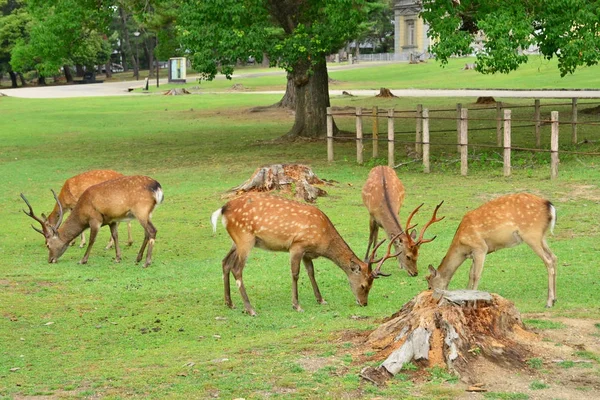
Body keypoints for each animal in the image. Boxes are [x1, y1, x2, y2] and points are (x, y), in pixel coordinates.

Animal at [21, 176, 163, 268]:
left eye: (48, 245)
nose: (50, 260)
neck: (83, 211)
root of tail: (158, 187)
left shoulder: (95, 219)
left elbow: (92, 240)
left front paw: (82, 260)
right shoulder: (111, 219)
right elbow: (115, 236)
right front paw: (118, 258)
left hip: (141, 210)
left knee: (152, 230)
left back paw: (147, 262)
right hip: (147, 213)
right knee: (147, 233)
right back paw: (138, 258)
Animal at [211, 192, 398, 318]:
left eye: (371, 286)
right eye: (364, 286)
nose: (364, 303)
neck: (323, 240)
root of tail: (222, 209)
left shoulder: (308, 253)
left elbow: (311, 272)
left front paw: (320, 299)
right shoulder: (297, 245)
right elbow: (295, 274)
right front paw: (297, 305)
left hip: (236, 241)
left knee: (225, 262)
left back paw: (229, 303)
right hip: (245, 238)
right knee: (237, 268)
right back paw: (250, 309)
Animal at [426, 192, 556, 308]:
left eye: (430, 286)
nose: (433, 302)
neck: (462, 245)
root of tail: (550, 206)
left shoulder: (481, 248)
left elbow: (476, 275)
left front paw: (472, 302)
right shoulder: (474, 254)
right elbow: (470, 274)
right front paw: (465, 297)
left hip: (531, 234)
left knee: (548, 261)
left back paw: (548, 302)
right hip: (542, 236)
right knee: (554, 256)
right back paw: (554, 299)